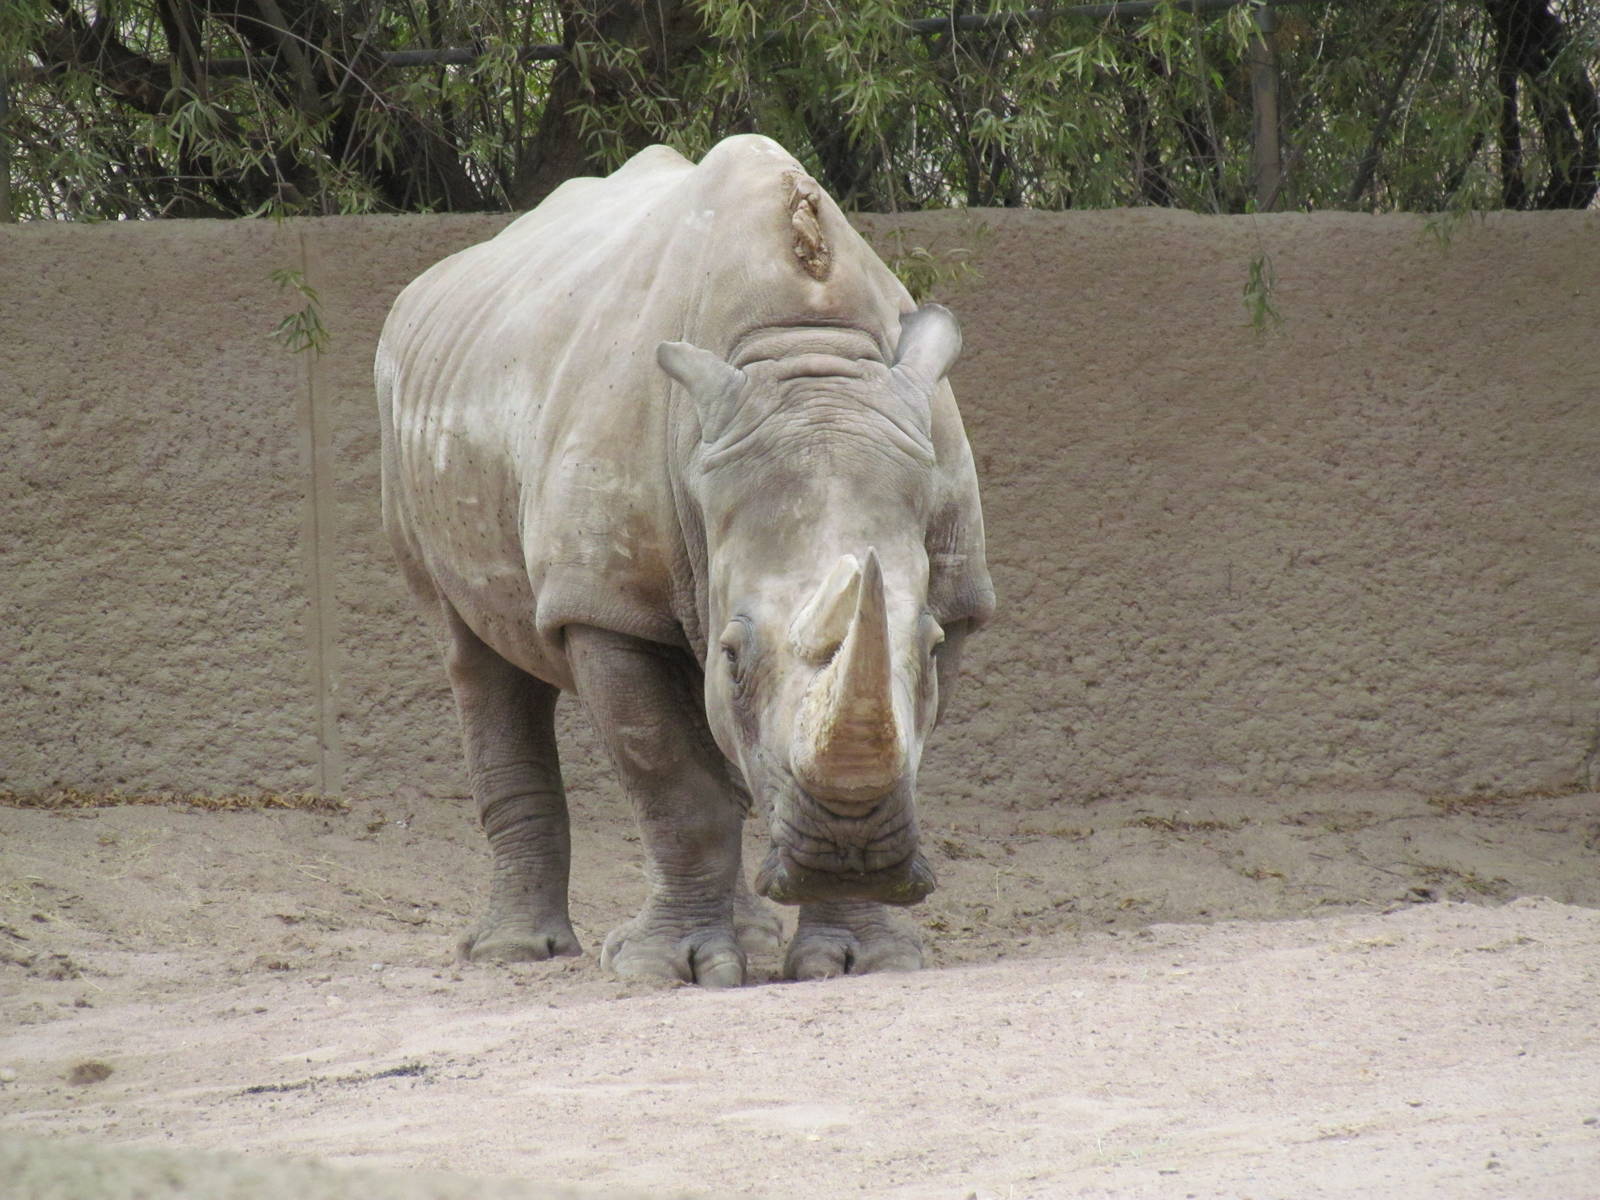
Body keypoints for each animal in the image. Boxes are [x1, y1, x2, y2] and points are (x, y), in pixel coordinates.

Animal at [376, 134, 993, 986]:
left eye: (930, 648)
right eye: (735, 655)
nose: (849, 852)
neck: (805, 364)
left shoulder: (957, 588)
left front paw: (858, 959)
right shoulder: (604, 602)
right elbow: (670, 780)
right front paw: (666, 969)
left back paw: (752, 942)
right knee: (474, 651)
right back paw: (516, 953)